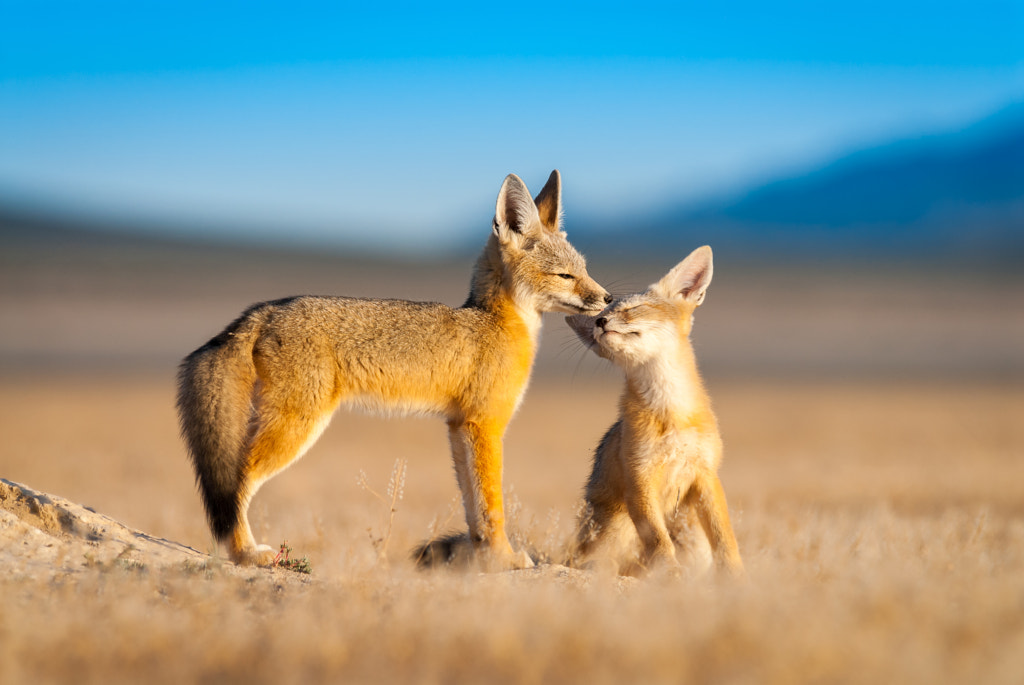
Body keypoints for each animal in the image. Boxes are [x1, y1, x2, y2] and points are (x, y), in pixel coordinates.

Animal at [177, 170, 610, 565]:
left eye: (586, 270)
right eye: (565, 276)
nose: (606, 298)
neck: (495, 321)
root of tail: (263, 310)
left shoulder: (458, 425)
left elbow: (473, 507)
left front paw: (483, 558)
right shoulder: (484, 424)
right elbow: (492, 504)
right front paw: (505, 558)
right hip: (296, 426)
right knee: (237, 485)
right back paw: (246, 553)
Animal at [569, 245, 745, 577]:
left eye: (633, 308)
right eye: (601, 315)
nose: (599, 323)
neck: (670, 412)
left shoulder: (706, 474)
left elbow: (724, 536)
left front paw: (736, 576)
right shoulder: (639, 478)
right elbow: (659, 540)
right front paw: (671, 575)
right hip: (617, 523)